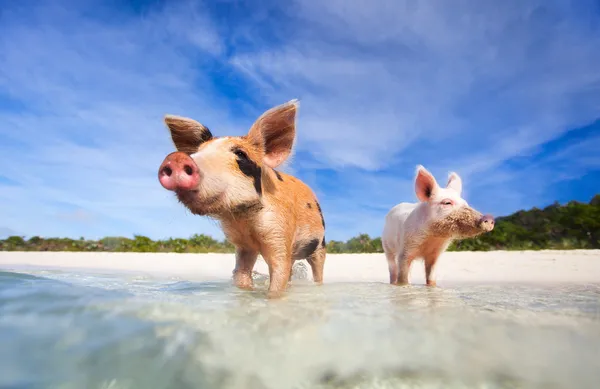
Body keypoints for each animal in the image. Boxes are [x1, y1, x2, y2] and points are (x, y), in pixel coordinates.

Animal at [157, 100, 326, 298]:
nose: (176, 158)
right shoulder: (244, 245)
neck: (245, 219)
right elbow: (241, 274)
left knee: (317, 269)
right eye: (196, 152)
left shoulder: (280, 231)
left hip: (320, 244)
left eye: (240, 154)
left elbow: (278, 275)